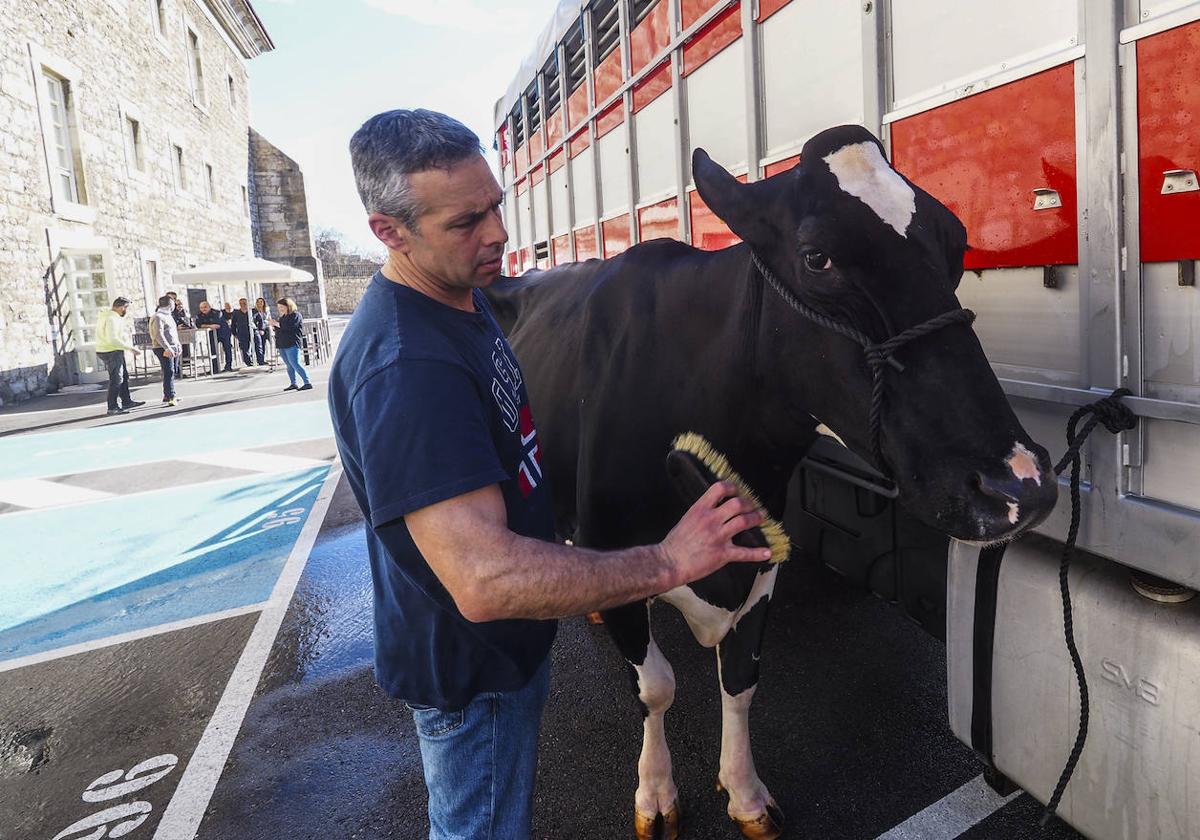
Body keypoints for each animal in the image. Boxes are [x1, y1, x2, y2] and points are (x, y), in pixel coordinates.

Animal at [482, 124, 1056, 840]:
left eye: (956, 241)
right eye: (816, 258)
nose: (1021, 484)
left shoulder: (762, 559)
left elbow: (742, 678)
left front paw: (745, 792)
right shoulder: (617, 546)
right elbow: (656, 687)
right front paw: (656, 793)